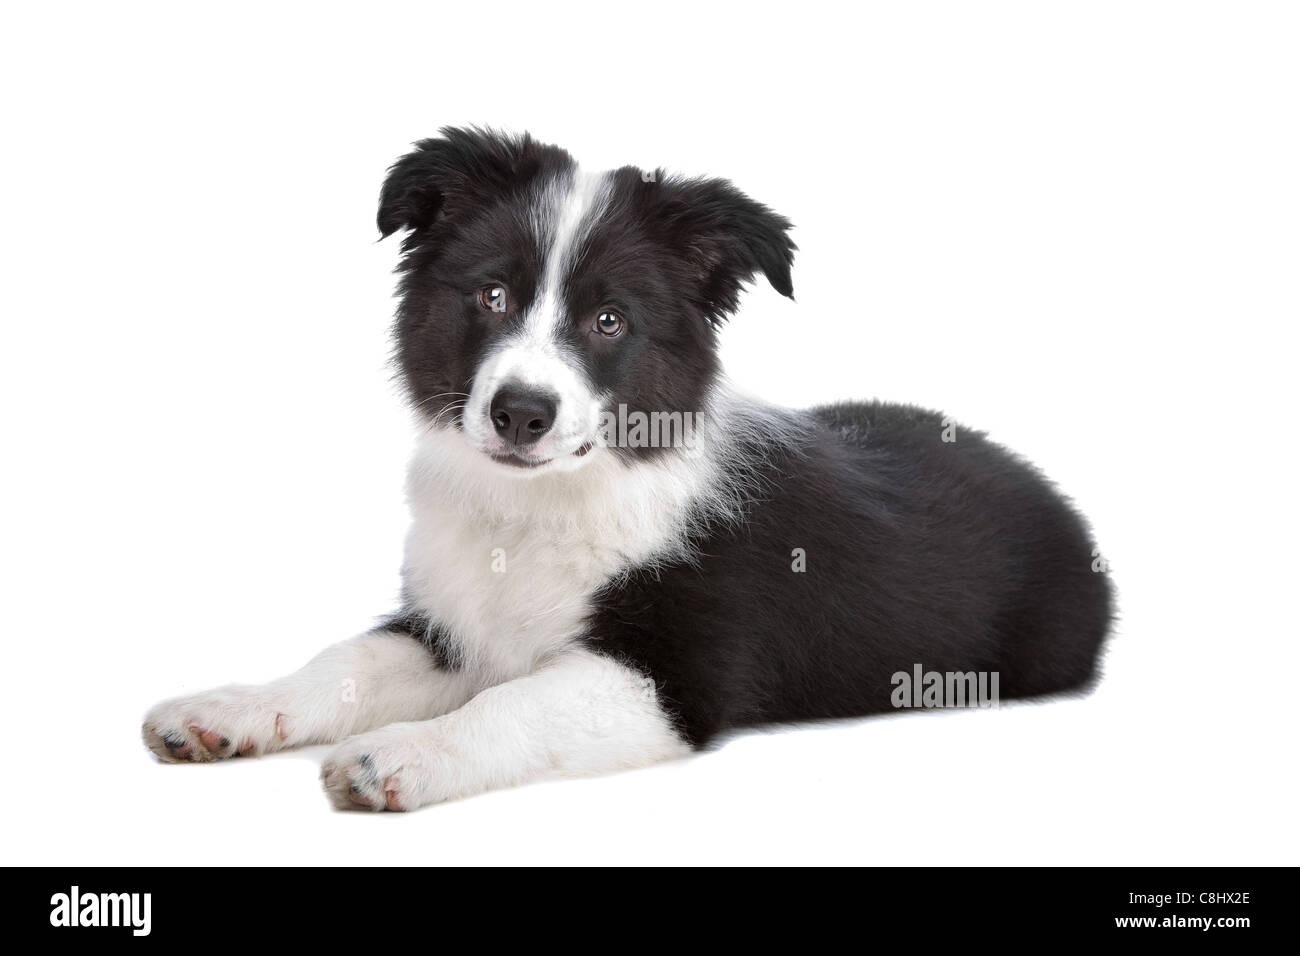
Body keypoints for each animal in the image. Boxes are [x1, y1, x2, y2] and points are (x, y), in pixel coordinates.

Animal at [144, 127, 1118, 811]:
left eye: (608, 320)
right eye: (492, 295)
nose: (521, 413)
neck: (544, 503)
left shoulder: (676, 675)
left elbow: (514, 703)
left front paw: (408, 754)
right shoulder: (455, 625)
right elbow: (343, 660)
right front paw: (224, 711)